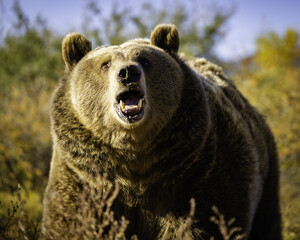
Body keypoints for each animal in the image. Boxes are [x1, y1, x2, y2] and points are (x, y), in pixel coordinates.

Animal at [41, 24, 282, 240]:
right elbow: (70, 222)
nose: (128, 73)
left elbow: (211, 219)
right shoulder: (84, 177)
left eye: (145, 60)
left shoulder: (201, 168)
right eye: (105, 64)